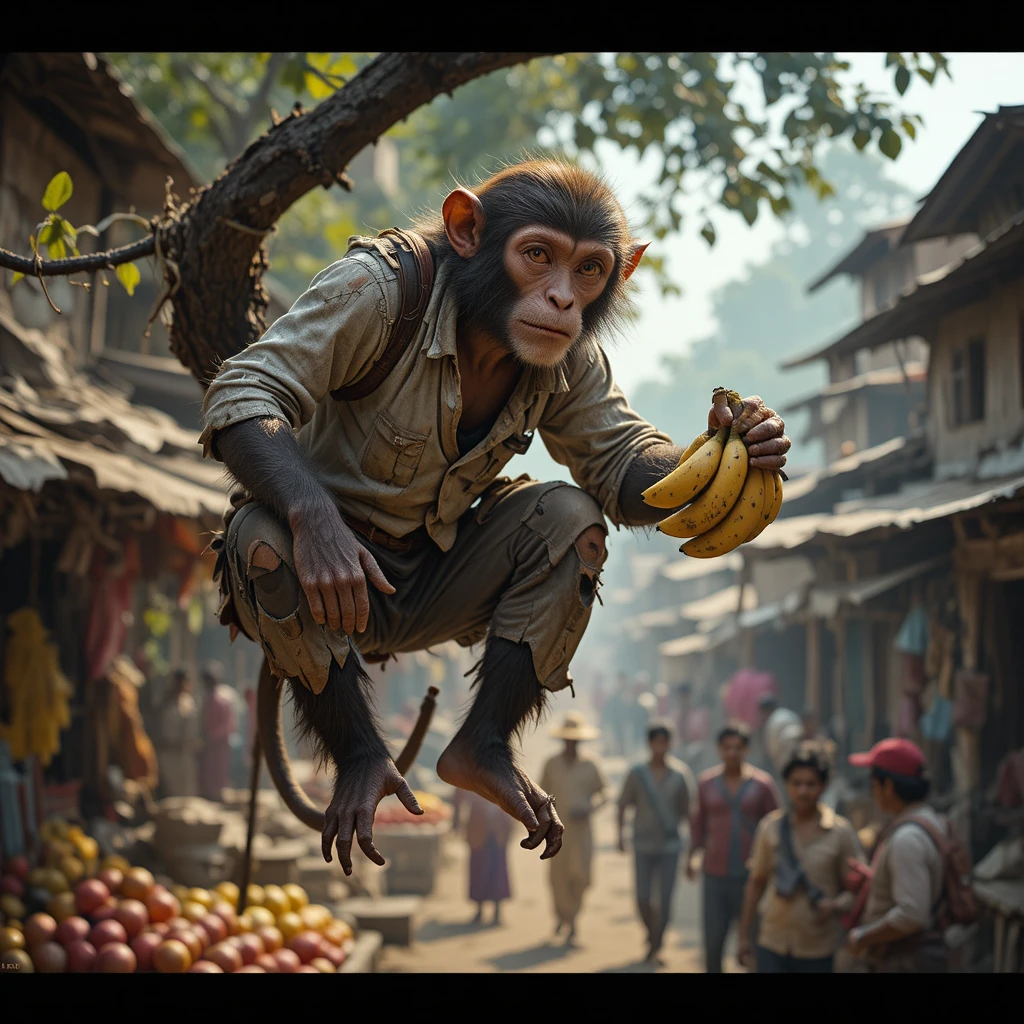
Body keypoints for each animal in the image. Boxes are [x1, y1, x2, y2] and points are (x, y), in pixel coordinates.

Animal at [201, 159, 791, 877]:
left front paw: (752, 428)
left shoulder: (577, 358)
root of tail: (392, 639)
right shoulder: (362, 292)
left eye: (589, 268)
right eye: (537, 255)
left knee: (571, 523)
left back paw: (481, 761)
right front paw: (326, 541)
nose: (563, 301)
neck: (477, 332)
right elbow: (255, 385)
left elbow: (615, 462)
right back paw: (366, 762)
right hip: (366, 609)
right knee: (268, 545)